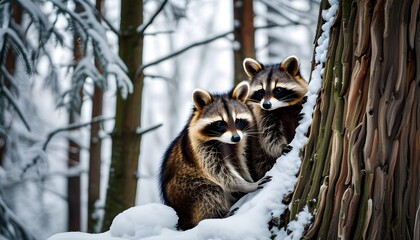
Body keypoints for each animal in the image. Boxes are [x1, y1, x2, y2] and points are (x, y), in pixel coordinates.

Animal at [159, 81, 270, 230]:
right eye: (219, 123)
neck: (224, 141)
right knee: (209, 193)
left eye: (238, 120)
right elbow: (219, 172)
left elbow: (239, 164)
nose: (236, 137)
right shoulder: (199, 146)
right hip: (183, 190)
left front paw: (247, 179)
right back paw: (217, 215)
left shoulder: (238, 145)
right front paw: (247, 185)